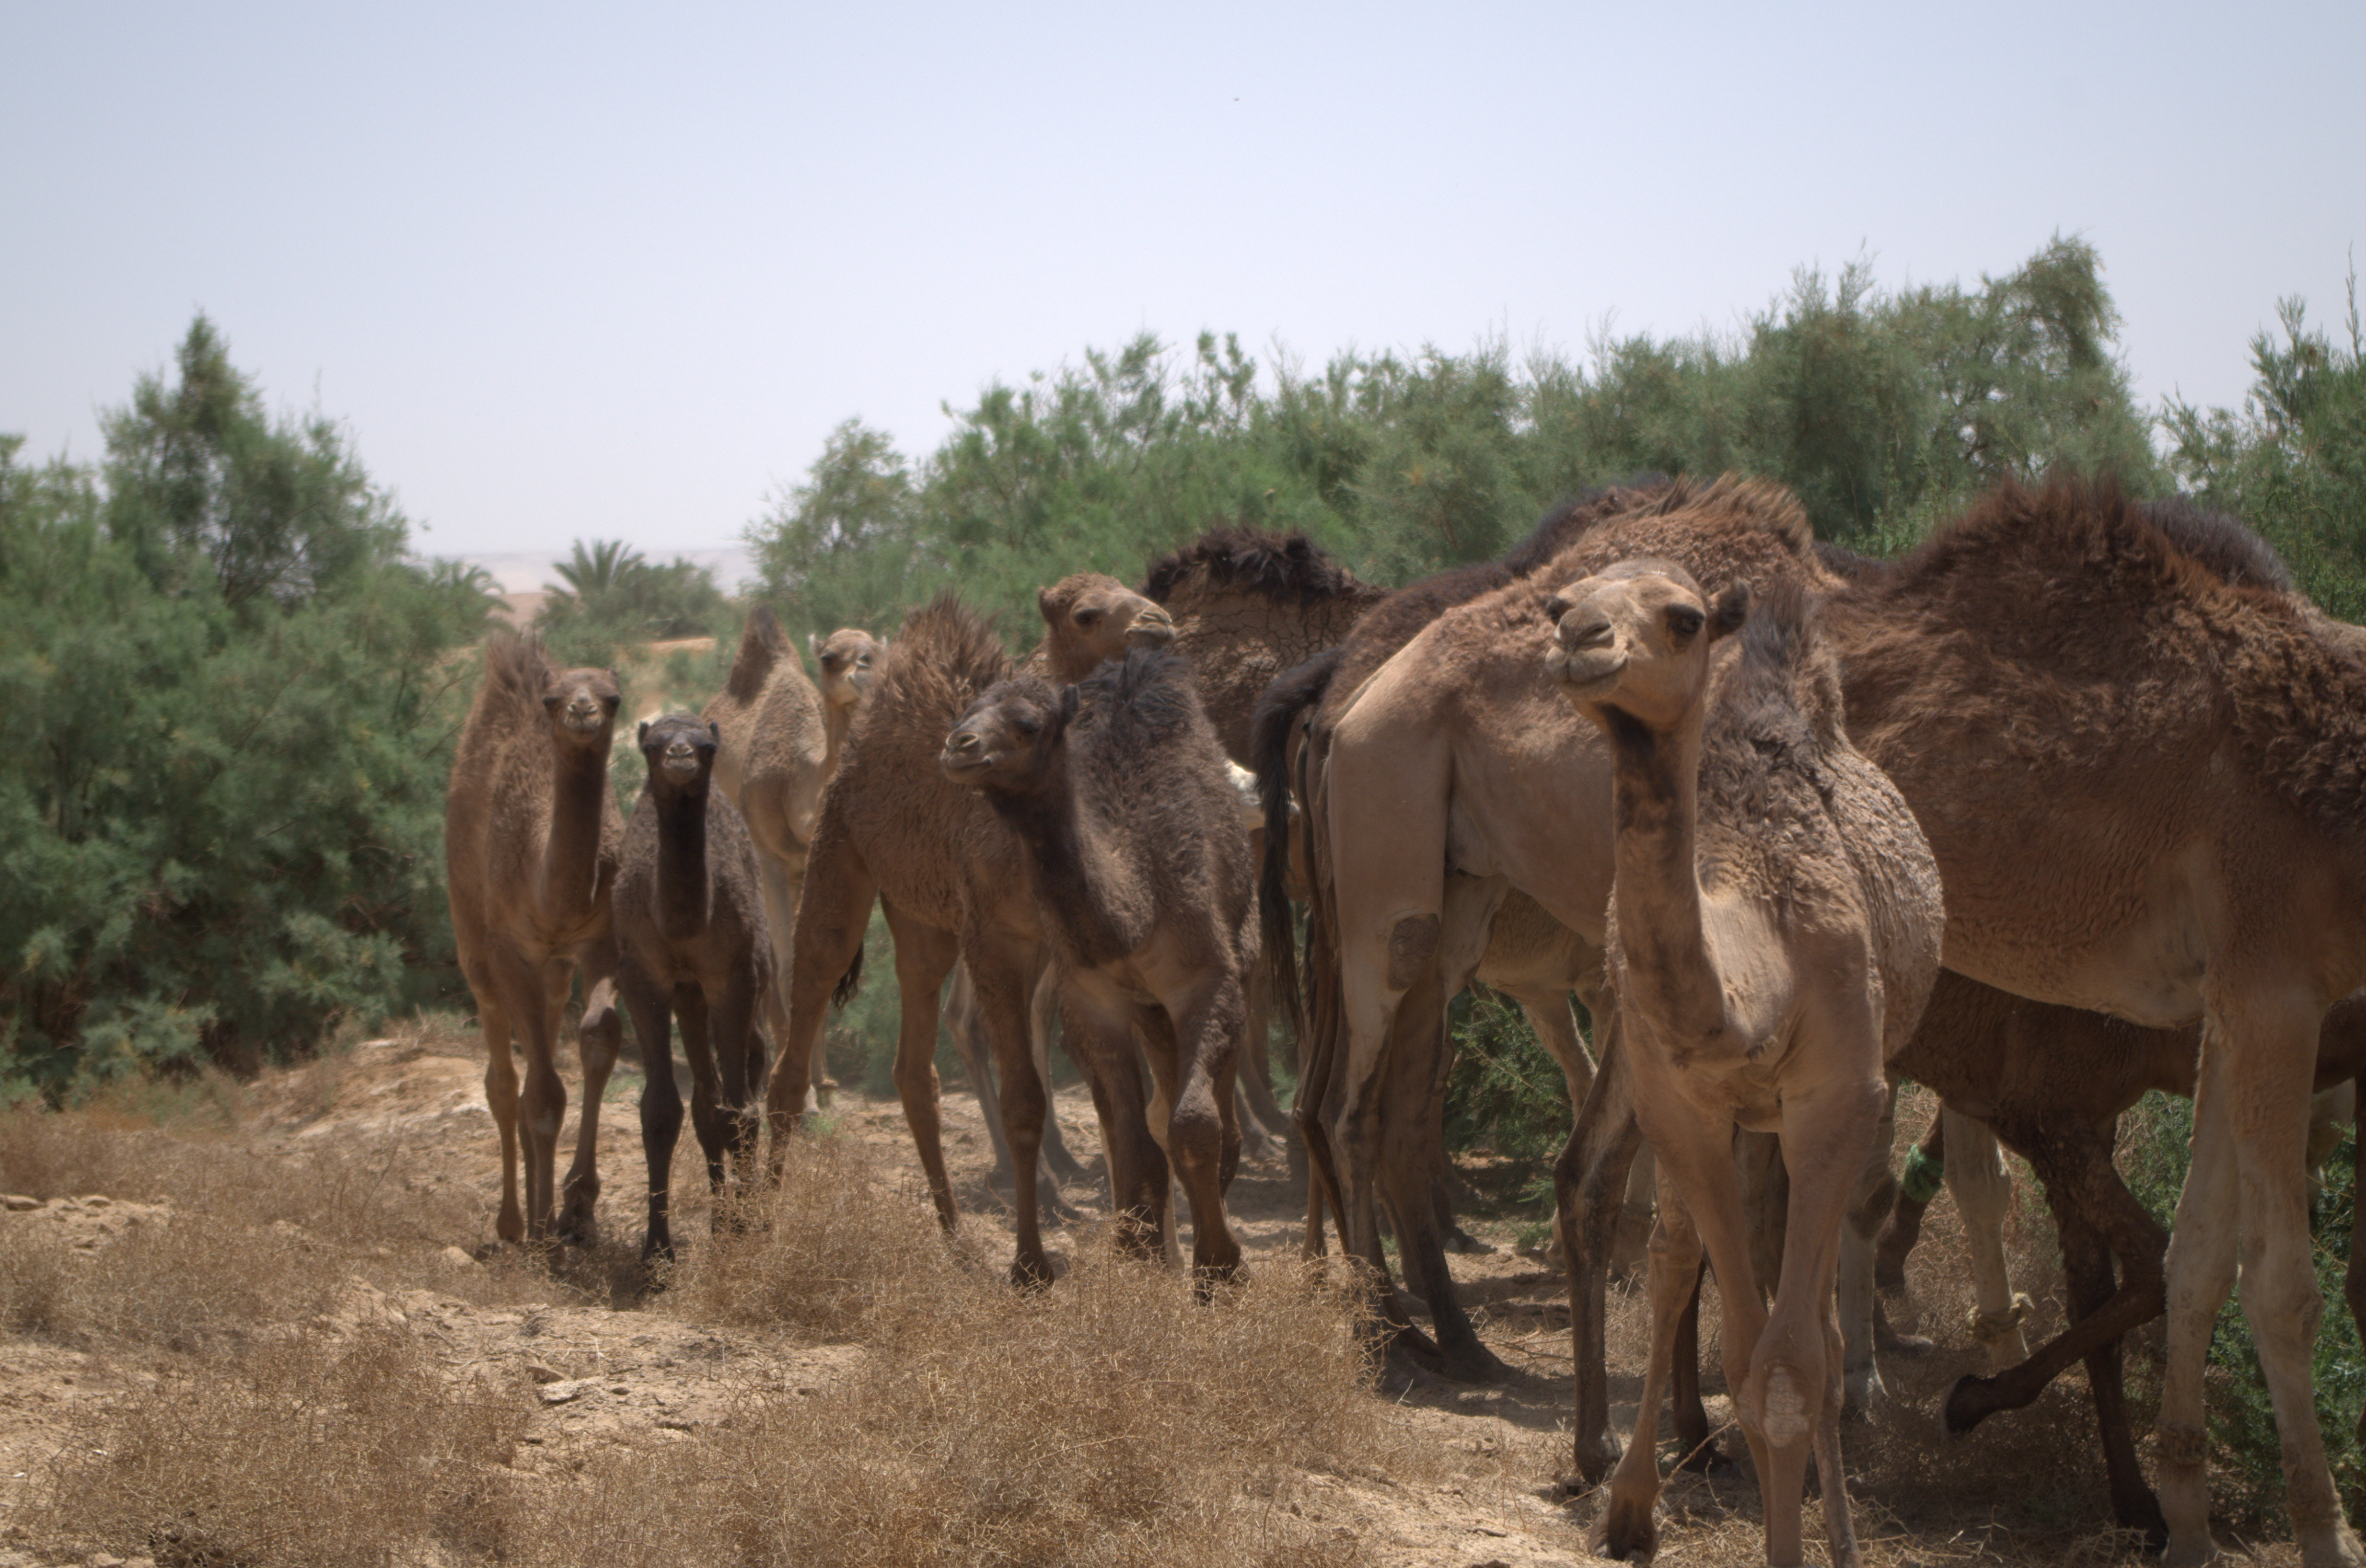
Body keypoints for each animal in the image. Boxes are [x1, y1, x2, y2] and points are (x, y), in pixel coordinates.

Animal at [444, 634, 625, 1248]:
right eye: (553, 699)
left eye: (613, 696)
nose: (582, 711)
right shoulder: (510, 950)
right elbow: (543, 1094)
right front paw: (546, 1226)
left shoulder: (600, 940)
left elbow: (598, 1042)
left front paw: (578, 1205)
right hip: (474, 943)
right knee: (503, 1082)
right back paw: (514, 1222)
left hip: (555, 970)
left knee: (542, 1040)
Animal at [615, 709, 771, 1268]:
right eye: (652, 744)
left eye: (707, 747)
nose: (679, 756)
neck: (684, 923)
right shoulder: (643, 976)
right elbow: (661, 1109)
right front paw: (657, 1253)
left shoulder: (734, 976)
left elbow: (742, 1112)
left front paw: (749, 1229)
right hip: (689, 997)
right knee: (707, 1102)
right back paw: (720, 1221)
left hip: (754, 985)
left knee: (749, 1079)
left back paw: (745, 1216)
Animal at [941, 643, 1268, 1286]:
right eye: (967, 710)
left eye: (1028, 723)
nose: (959, 745)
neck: (1136, 900)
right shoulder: (1097, 998)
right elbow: (1138, 1140)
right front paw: (1142, 1254)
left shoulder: (1206, 979)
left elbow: (1195, 1123)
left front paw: (1220, 1270)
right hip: (1147, 1009)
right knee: (1157, 1109)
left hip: (1238, 960)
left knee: (1212, 1118)